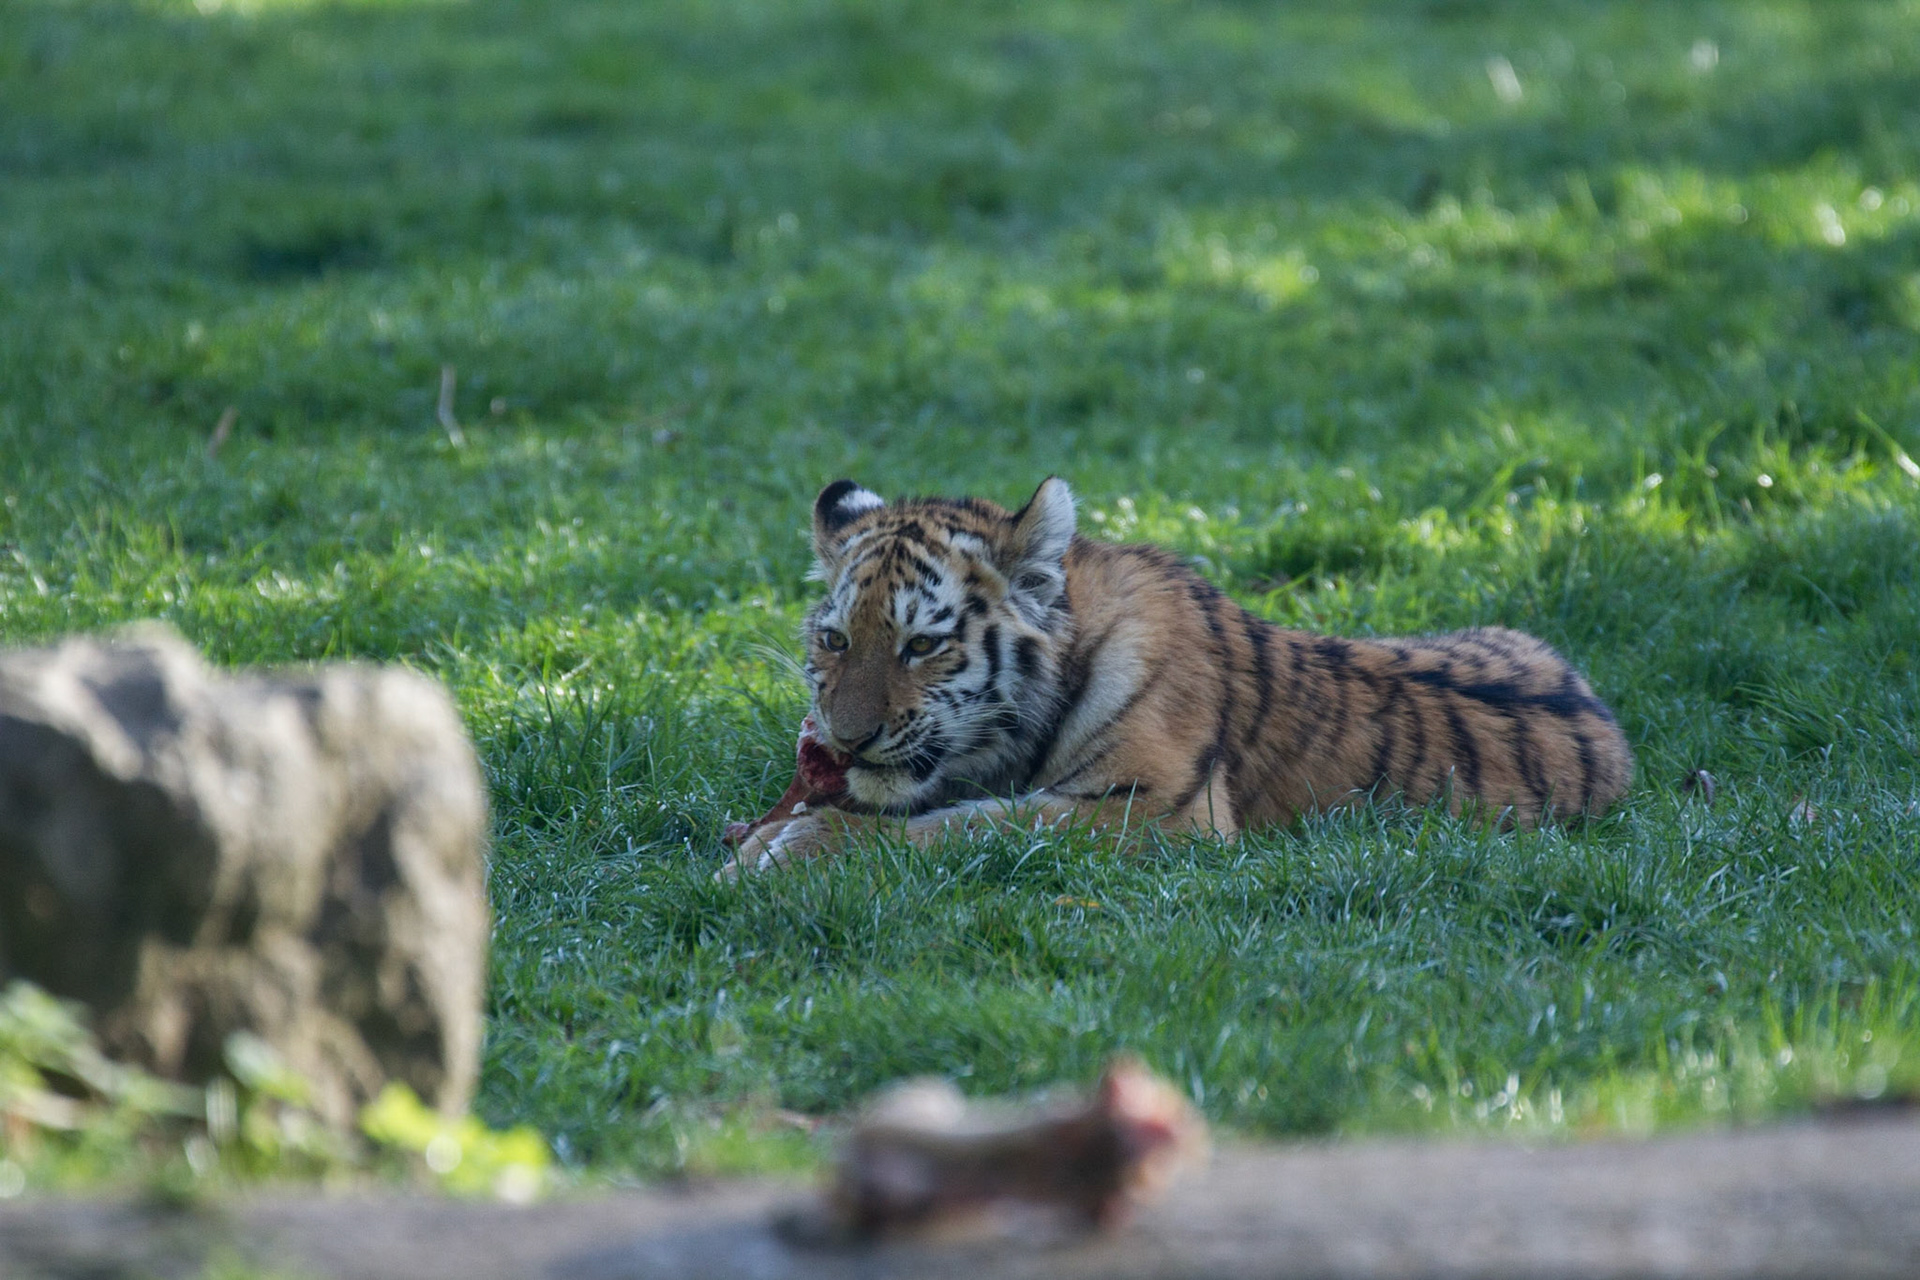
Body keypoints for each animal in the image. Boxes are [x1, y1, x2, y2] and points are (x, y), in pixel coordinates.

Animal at [722, 477, 1632, 876]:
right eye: (836, 640)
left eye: (920, 645)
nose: (844, 740)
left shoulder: (1160, 809)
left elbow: (973, 825)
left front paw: (793, 846)